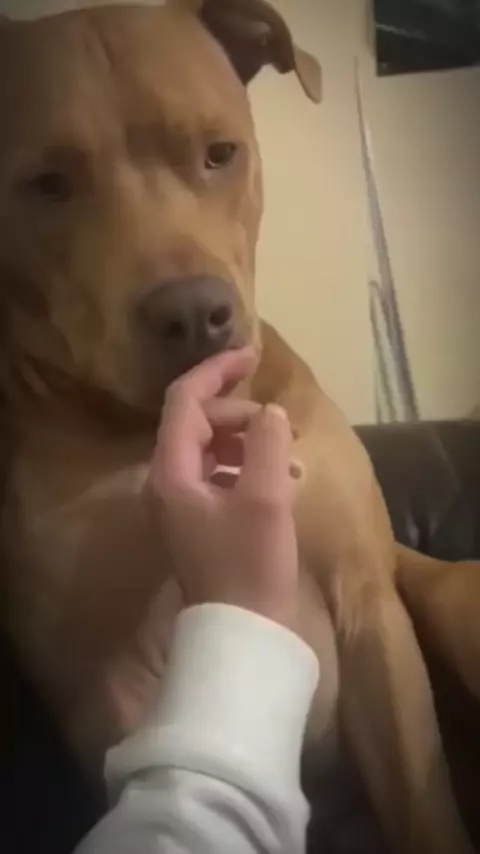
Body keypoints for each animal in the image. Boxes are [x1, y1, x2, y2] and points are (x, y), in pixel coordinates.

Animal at [0, 2, 475, 852]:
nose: (193, 314)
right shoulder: (103, 682)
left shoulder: (369, 611)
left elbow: (425, 808)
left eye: (219, 153)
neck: (140, 427)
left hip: (459, 596)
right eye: (47, 184)